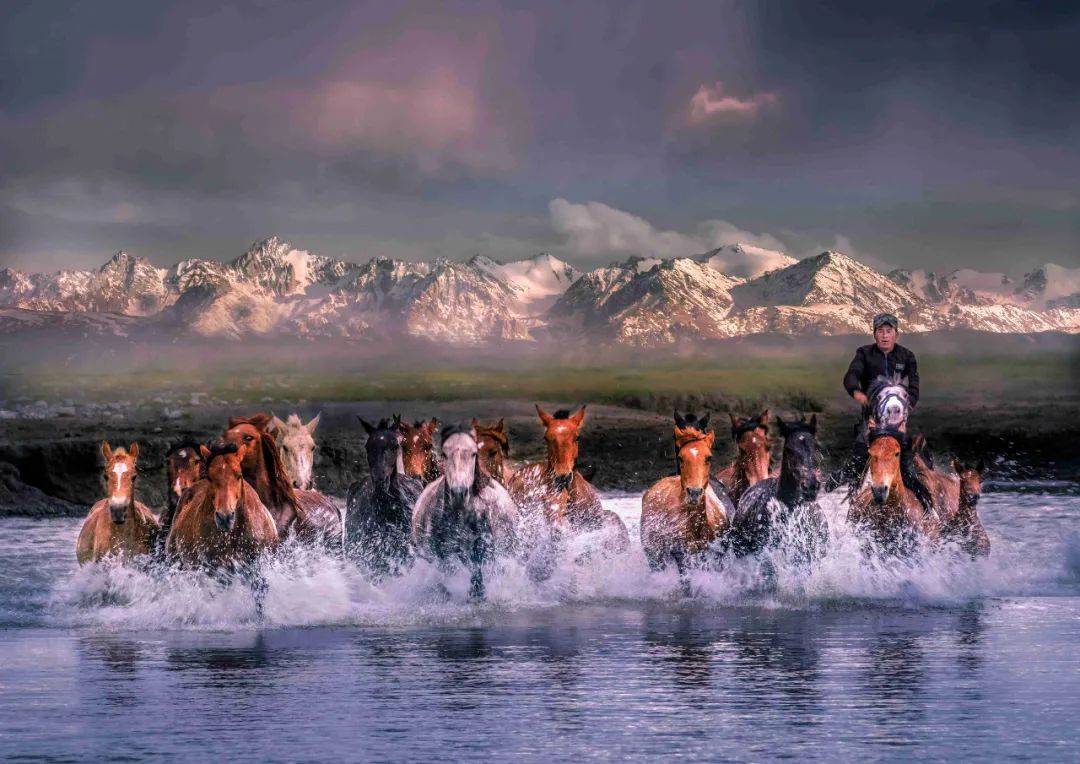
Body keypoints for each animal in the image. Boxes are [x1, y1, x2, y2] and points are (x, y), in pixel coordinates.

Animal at [411, 425, 519, 600]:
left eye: (473, 453)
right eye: (444, 454)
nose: (459, 492)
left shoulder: (481, 548)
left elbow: (477, 574)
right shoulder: (441, 554)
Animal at [641, 420, 733, 587]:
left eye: (709, 457)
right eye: (681, 457)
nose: (694, 492)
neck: (697, 527)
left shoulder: (716, 558)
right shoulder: (682, 559)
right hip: (655, 558)